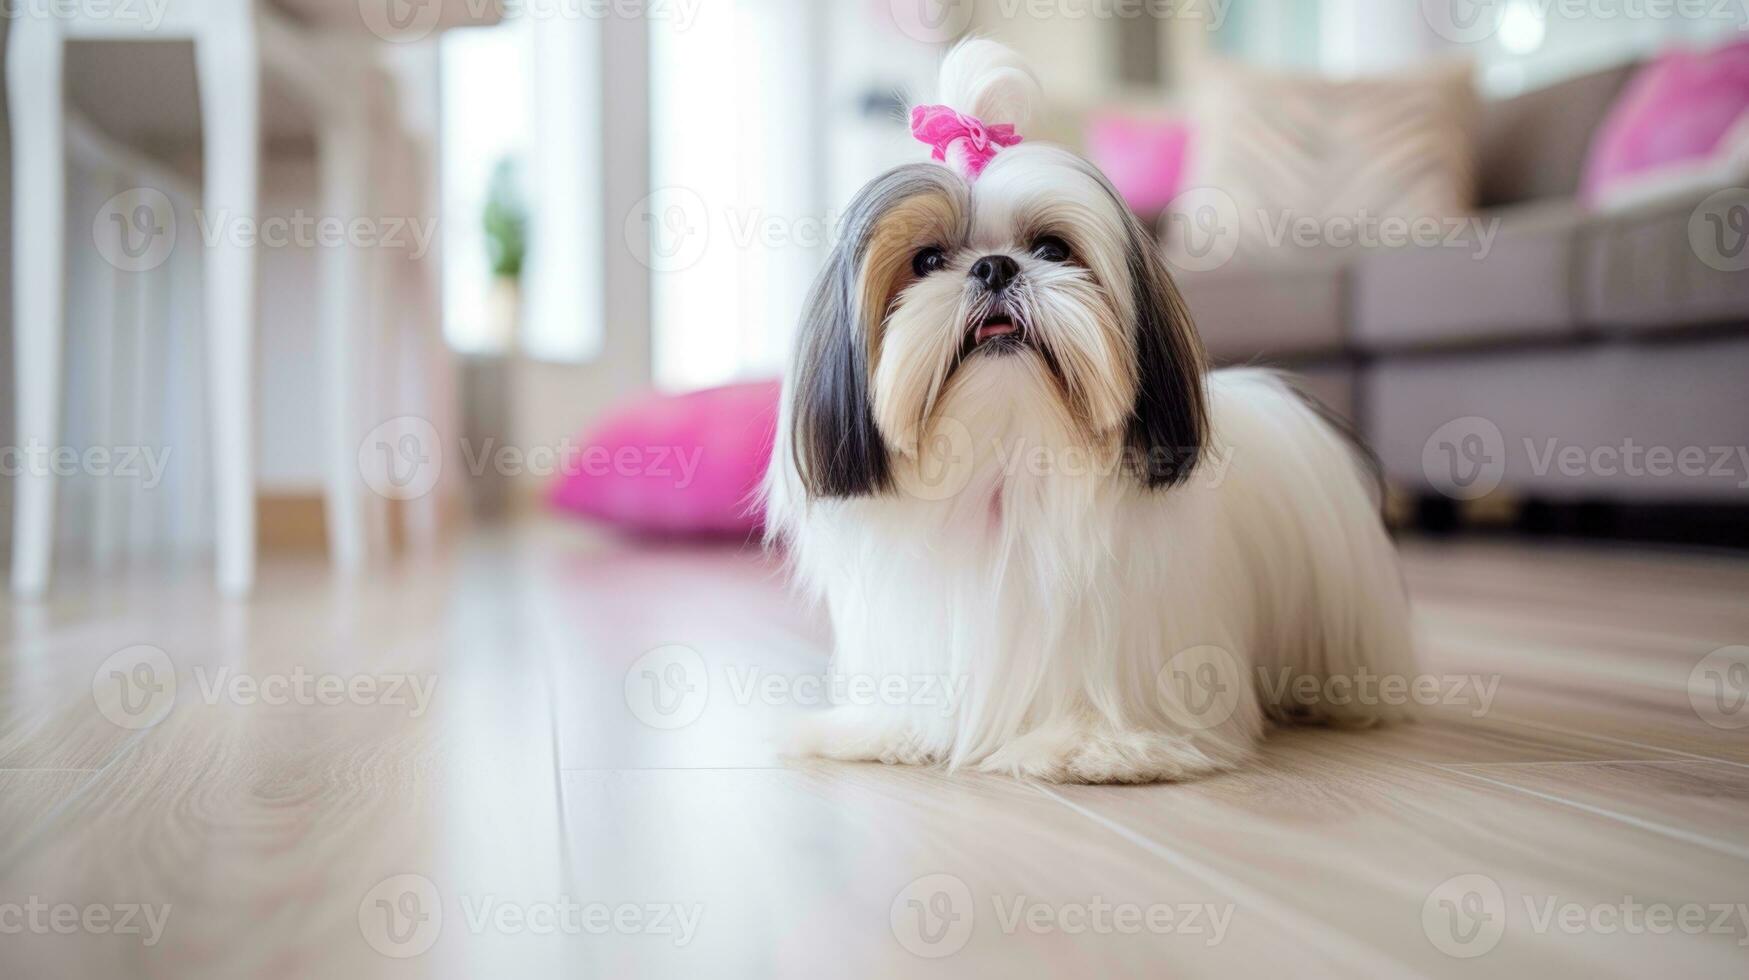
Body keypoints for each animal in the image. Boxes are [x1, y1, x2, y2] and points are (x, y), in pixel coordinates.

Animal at [766, 42, 1420, 784]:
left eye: (1052, 248)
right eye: (927, 259)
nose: (994, 267)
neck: (1007, 459)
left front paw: (1089, 747)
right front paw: (887, 730)